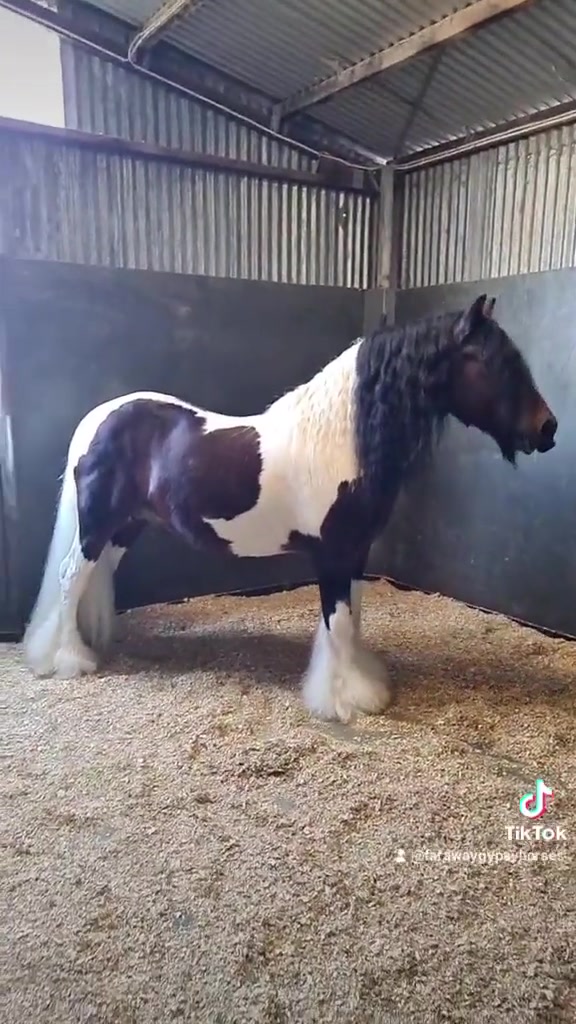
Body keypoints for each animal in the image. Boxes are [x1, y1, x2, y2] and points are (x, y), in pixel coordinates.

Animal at [22, 294, 557, 722]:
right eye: (490, 361)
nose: (548, 428)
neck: (342, 441)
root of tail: (97, 419)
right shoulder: (333, 555)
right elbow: (338, 624)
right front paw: (342, 701)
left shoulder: (355, 554)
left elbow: (350, 622)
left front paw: (360, 684)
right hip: (97, 527)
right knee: (71, 580)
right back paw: (67, 659)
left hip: (125, 528)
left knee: (93, 581)